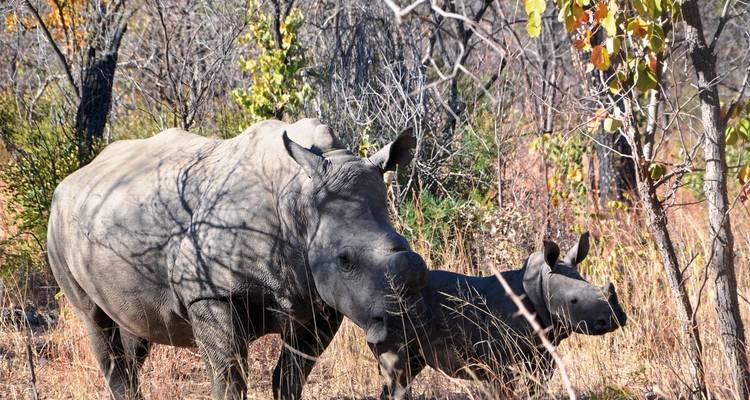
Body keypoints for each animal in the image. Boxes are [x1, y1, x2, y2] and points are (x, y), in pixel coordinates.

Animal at [46, 118, 429, 400]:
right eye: (345, 260)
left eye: (404, 246)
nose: (407, 343)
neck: (299, 200)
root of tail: (74, 177)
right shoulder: (210, 293)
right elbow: (229, 378)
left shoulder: (319, 301)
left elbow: (289, 377)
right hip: (57, 225)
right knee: (96, 323)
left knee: (133, 330)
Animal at [372, 232, 627, 399]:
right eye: (574, 301)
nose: (615, 319)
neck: (540, 286)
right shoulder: (499, 359)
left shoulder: (543, 353)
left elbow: (537, 388)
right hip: (393, 317)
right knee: (398, 372)